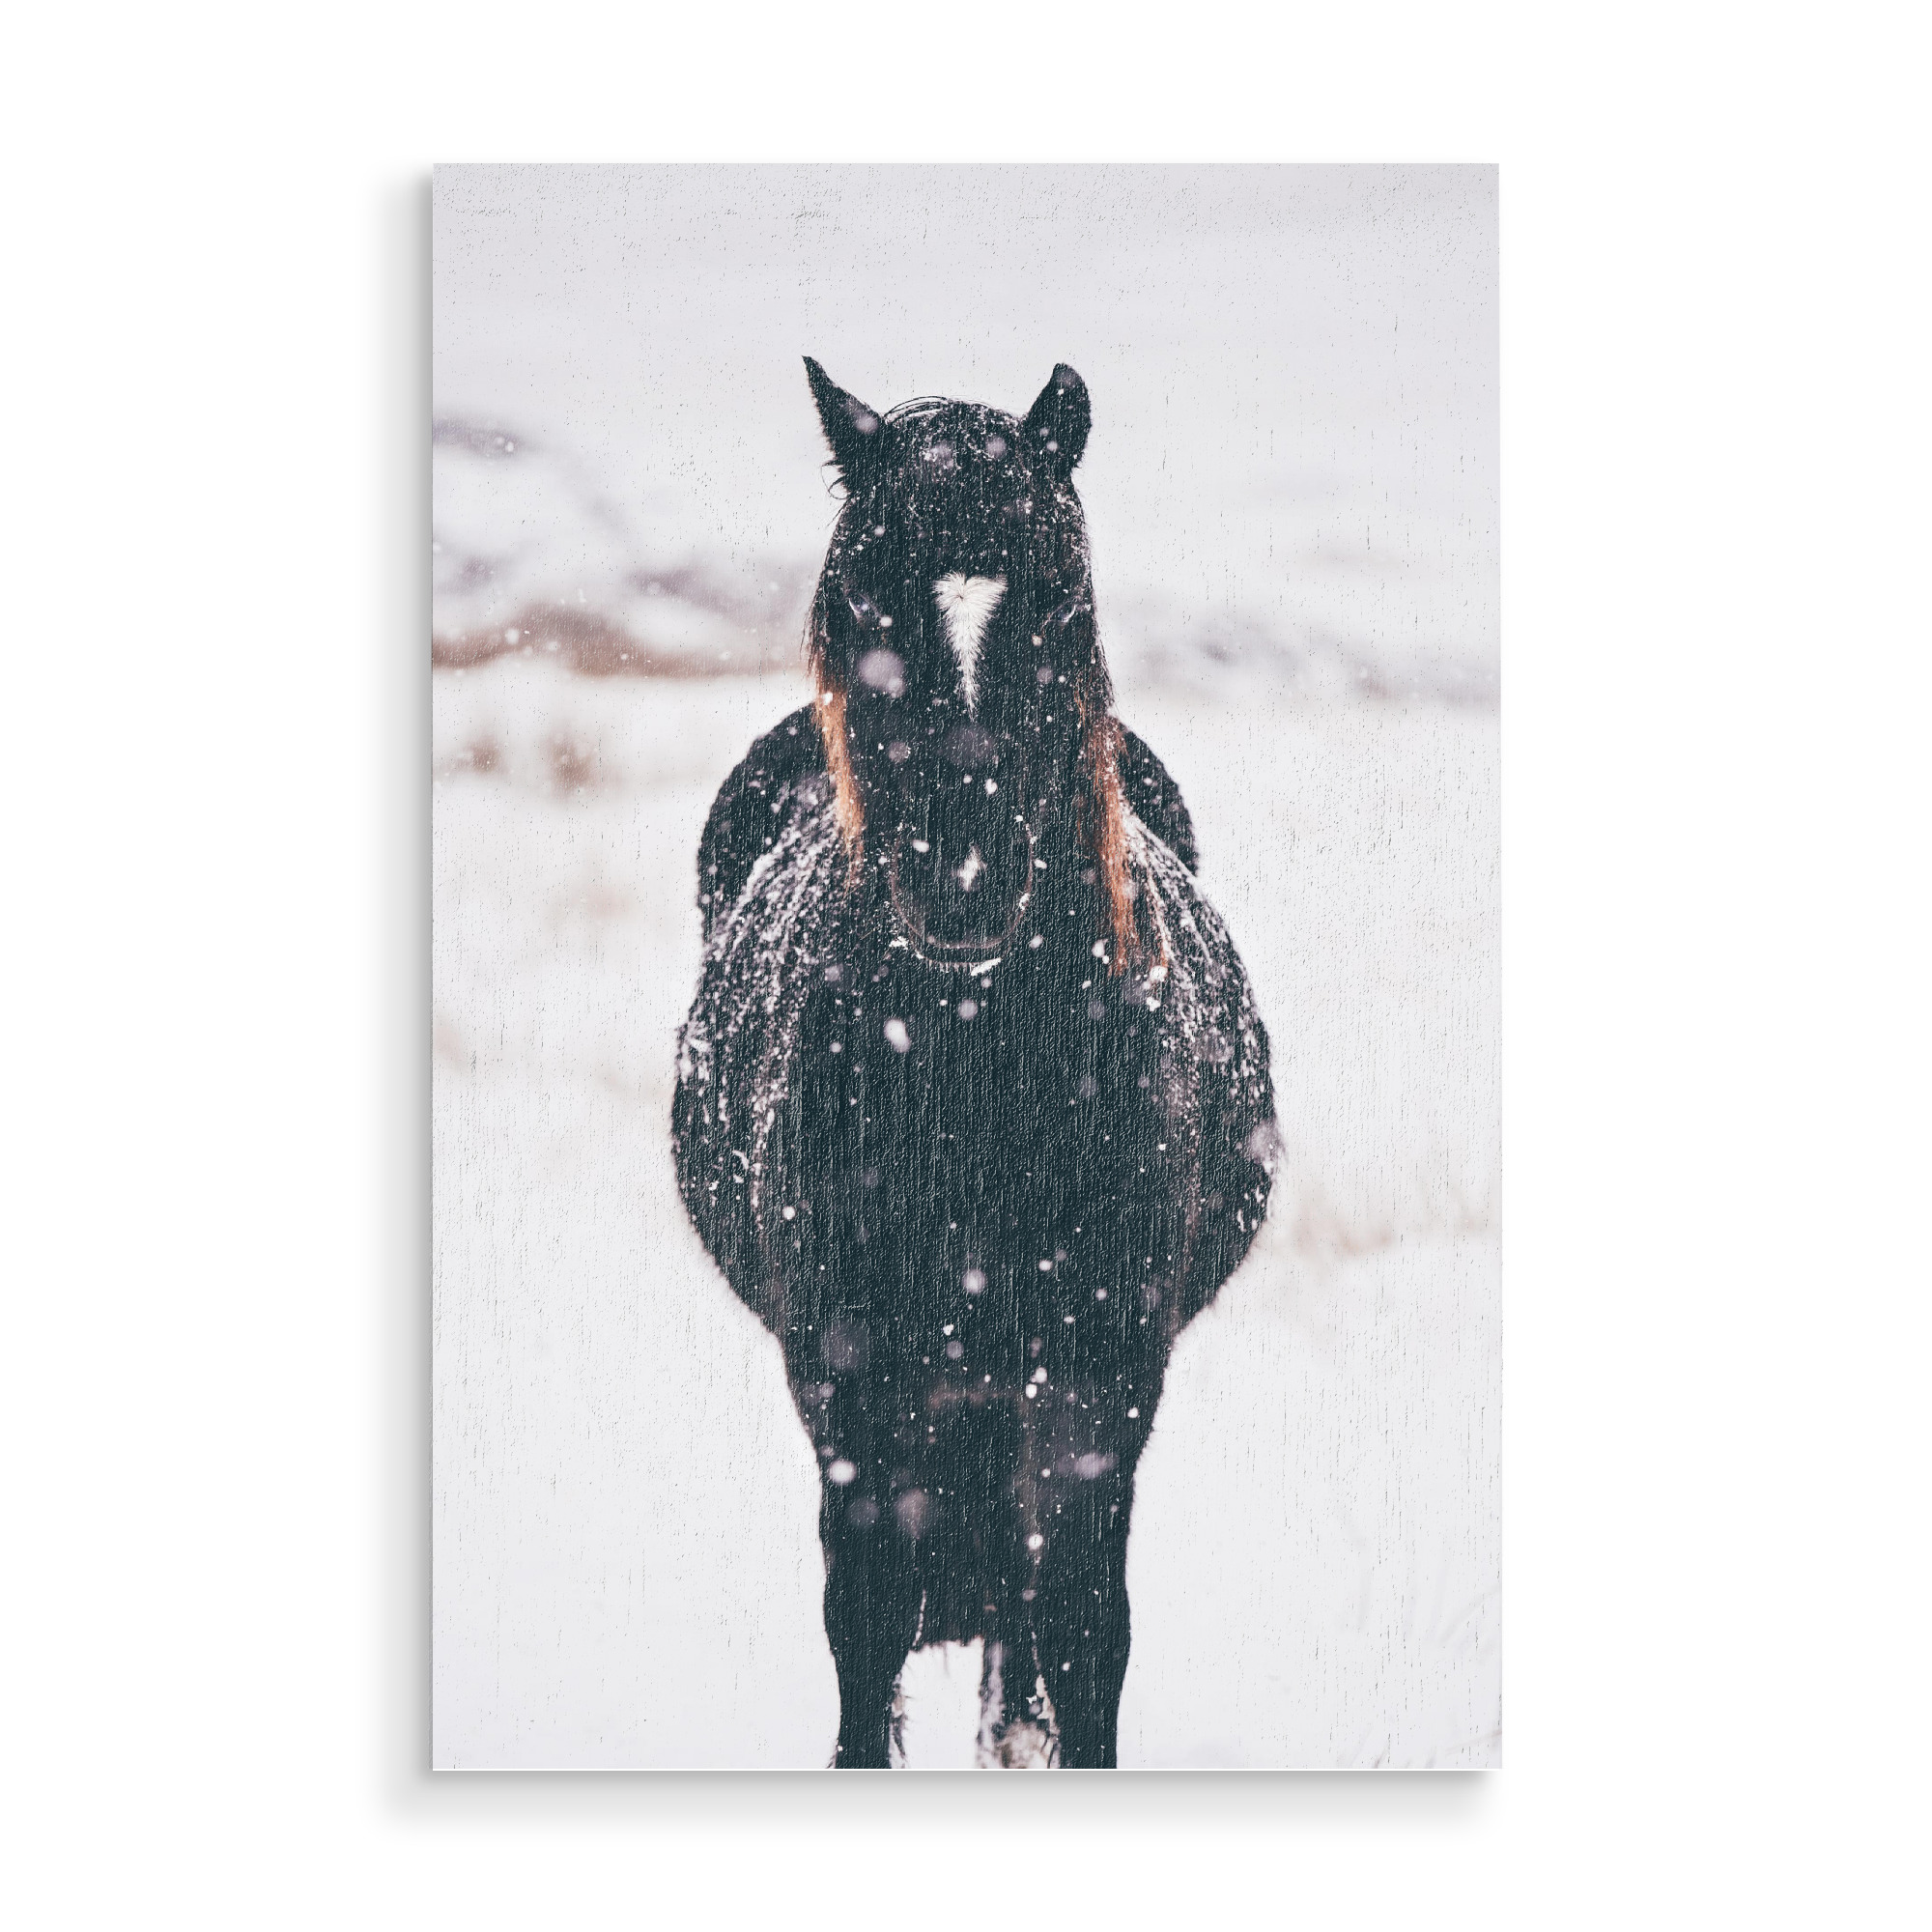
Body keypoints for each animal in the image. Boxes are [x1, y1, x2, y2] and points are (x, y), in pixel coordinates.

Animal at [672, 359, 1277, 1768]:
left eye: (1057, 593)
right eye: (860, 592)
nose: (962, 882)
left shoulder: (1102, 1379)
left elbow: (1085, 1624)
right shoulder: (850, 1381)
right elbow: (867, 1622)